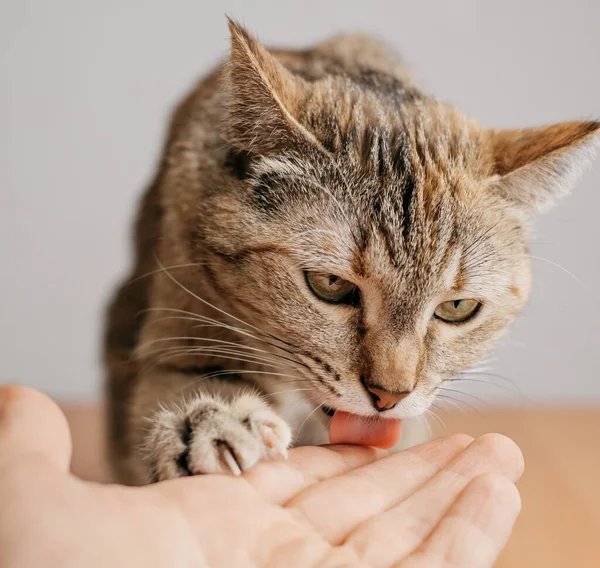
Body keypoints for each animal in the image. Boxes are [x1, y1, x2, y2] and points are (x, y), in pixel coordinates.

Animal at [104, 20, 600, 486]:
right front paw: (208, 422)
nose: (390, 396)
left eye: (458, 308)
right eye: (330, 284)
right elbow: (176, 382)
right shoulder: (173, 328)